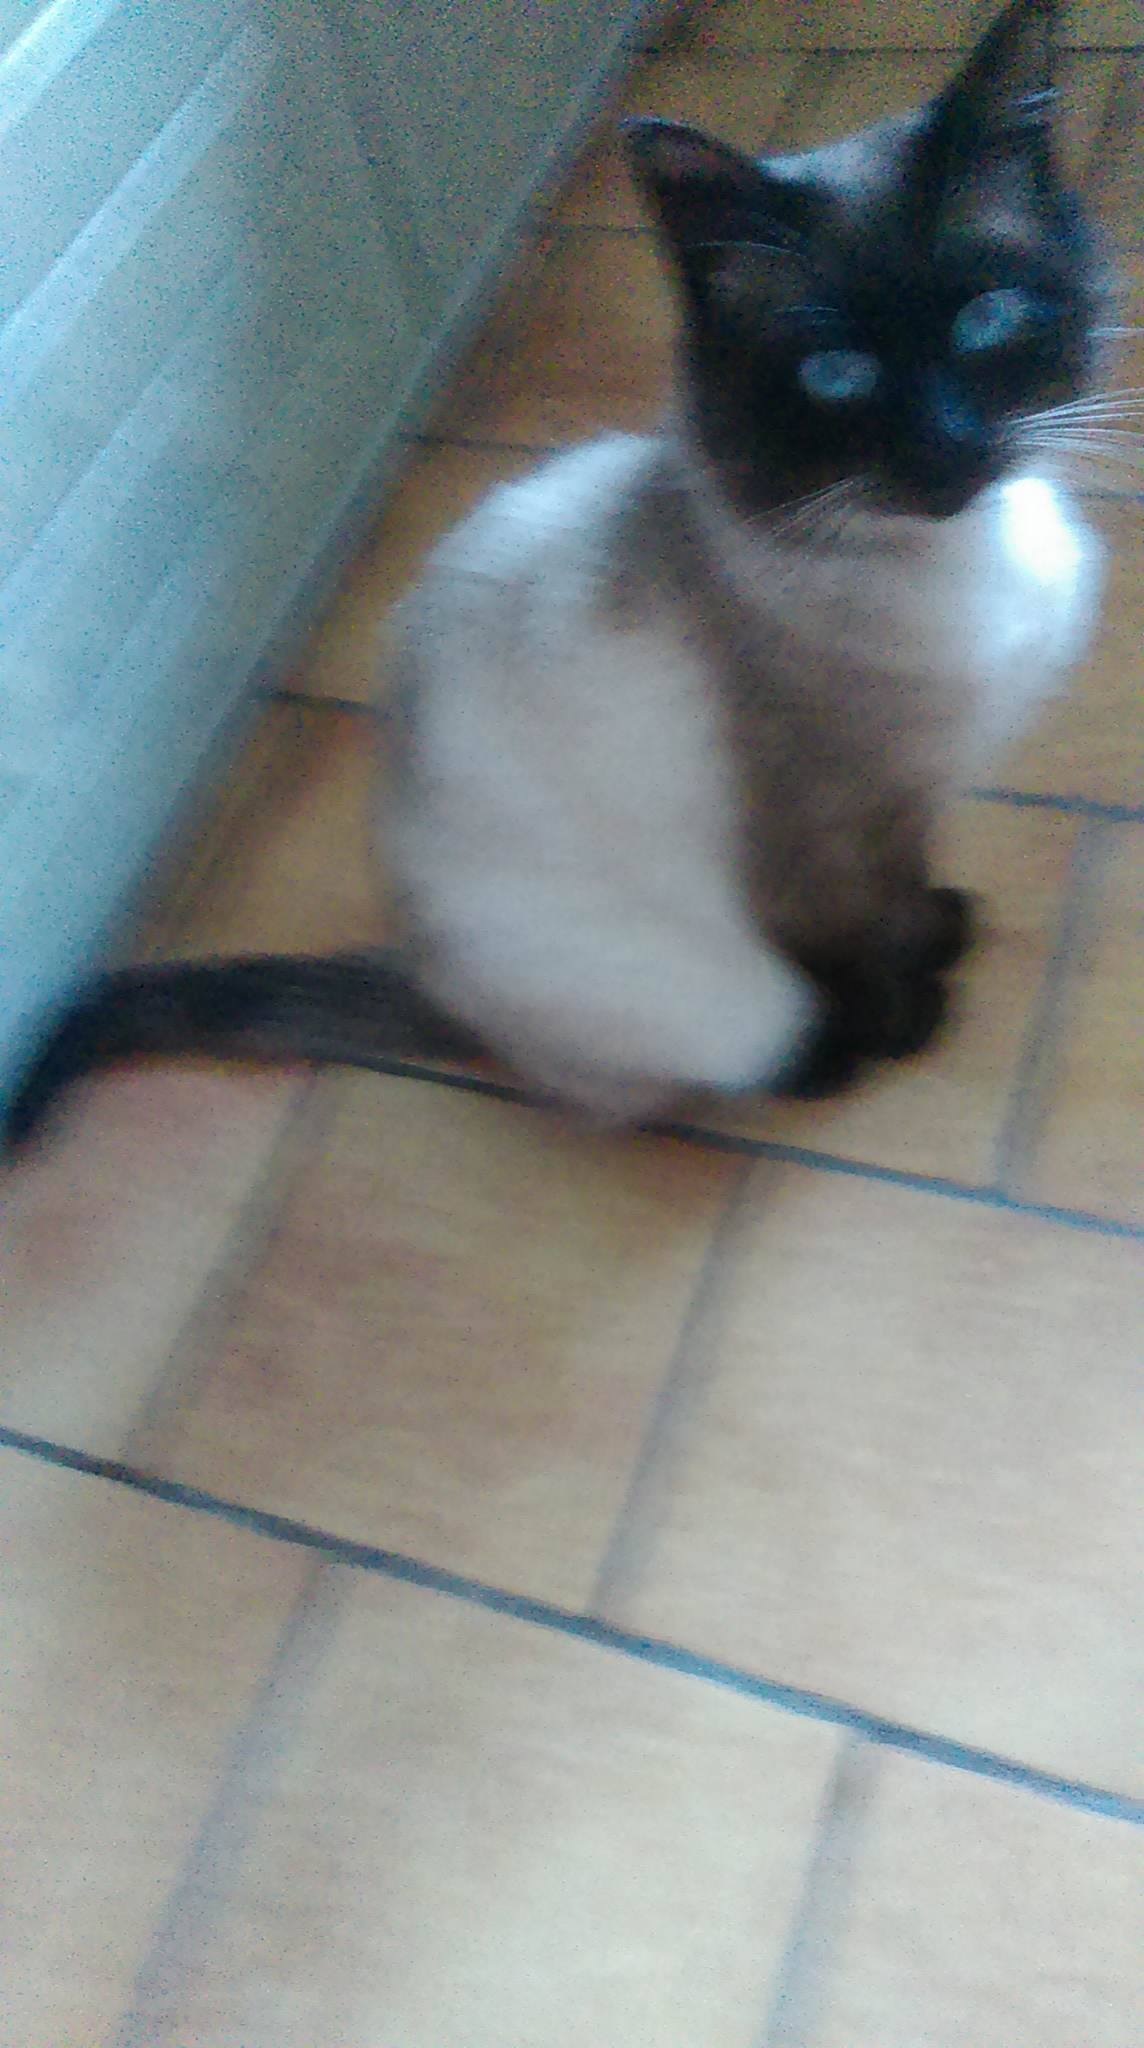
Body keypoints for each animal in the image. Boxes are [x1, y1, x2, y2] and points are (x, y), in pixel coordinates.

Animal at [5, 0, 1111, 1145]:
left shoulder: (912, 795)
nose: (951, 452)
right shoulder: (822, 836)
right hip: (670, 982)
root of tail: (436, 982)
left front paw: (939, 929)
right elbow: (853, 945)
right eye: (837, 375)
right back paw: (820, 1058)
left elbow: (908, 885)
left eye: (986, 319)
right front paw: (905, 1016)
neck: (964, 561)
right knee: (683, 1063)